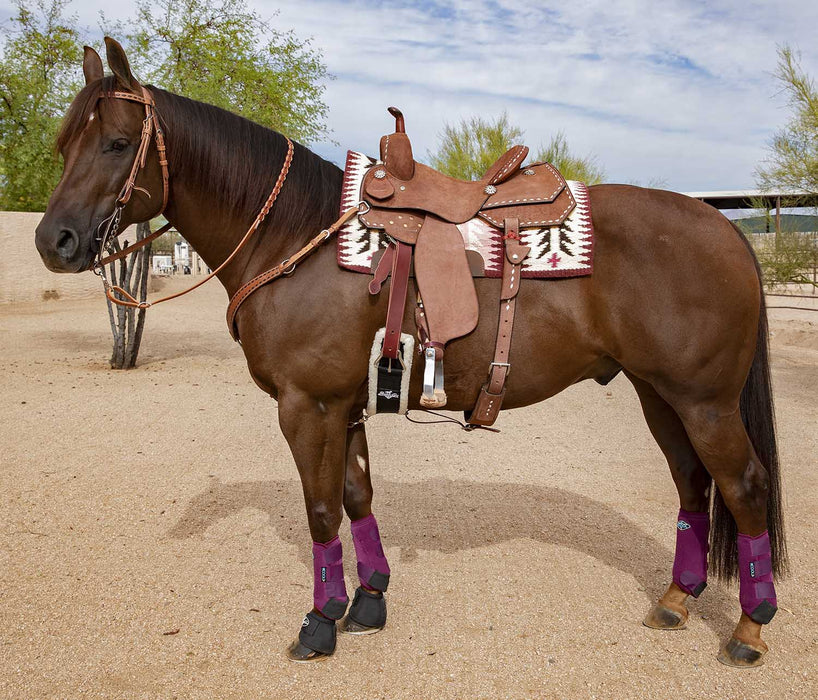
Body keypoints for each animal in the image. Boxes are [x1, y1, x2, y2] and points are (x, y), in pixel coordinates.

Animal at [35, 38, 786, 667]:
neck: (297, 238)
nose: (54, 240)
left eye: (118, 143)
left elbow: (319, 510)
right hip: (660, 395)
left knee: (744, 486)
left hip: (705, 402)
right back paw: (677, 600)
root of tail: (726, 224)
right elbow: (356, 495)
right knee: (692, 484)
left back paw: (750, 629)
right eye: (65, 143)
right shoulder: (344, 401)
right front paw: (369, 600)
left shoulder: (306, 405)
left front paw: (320, 621)